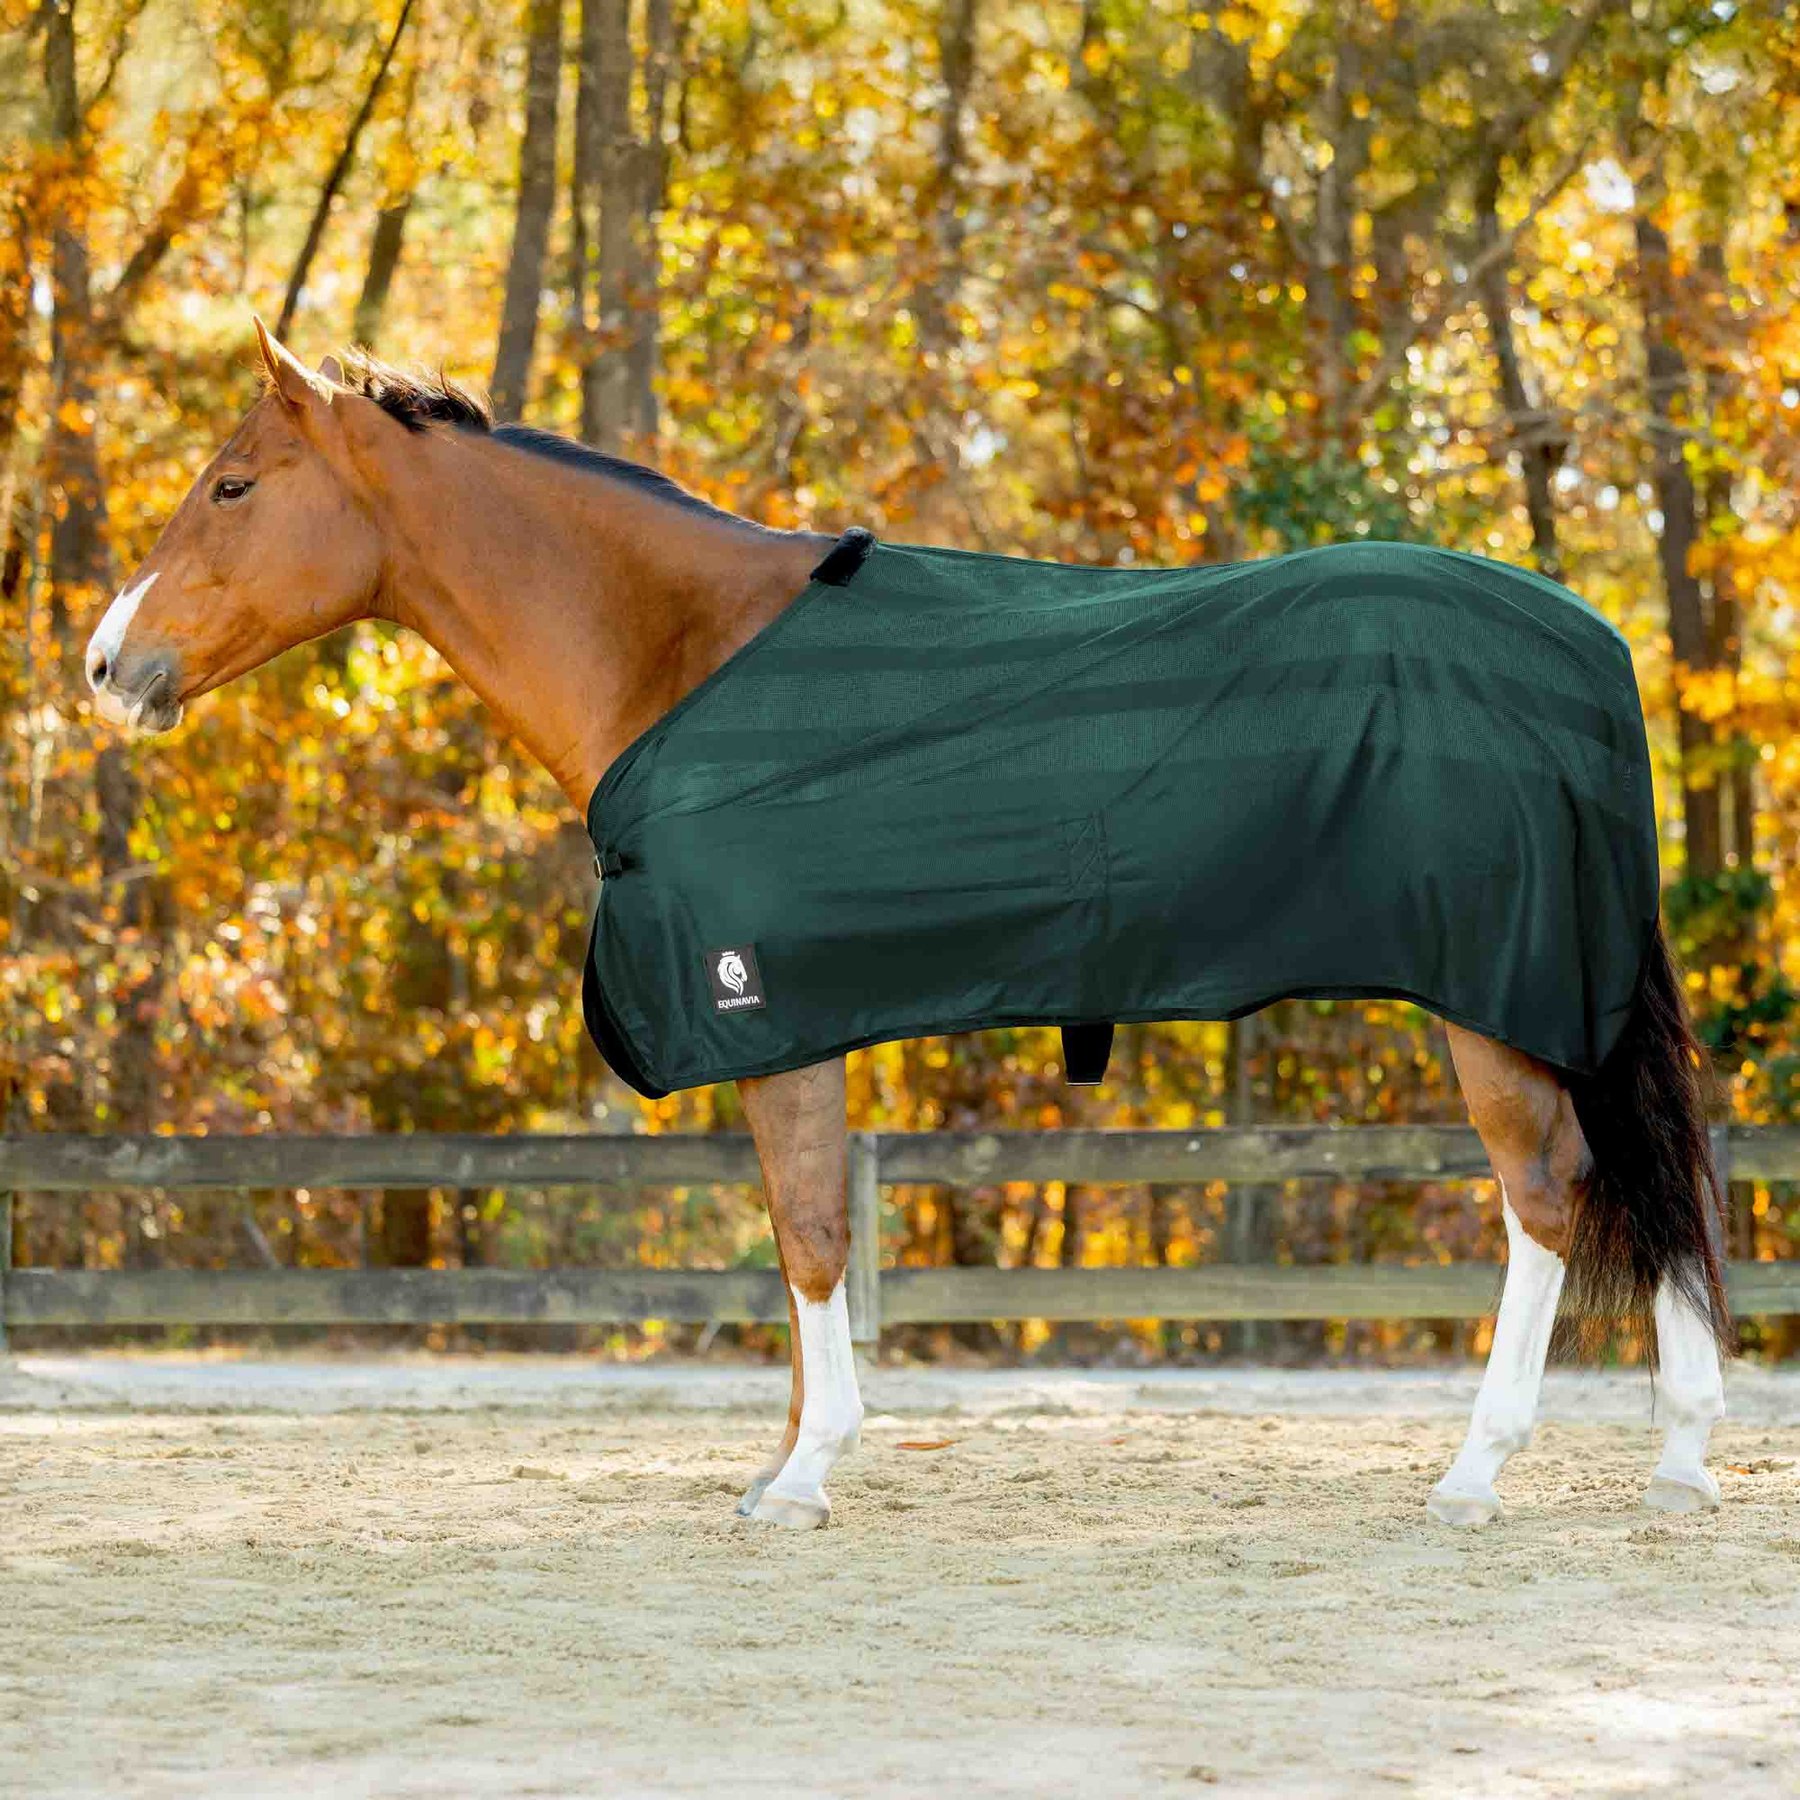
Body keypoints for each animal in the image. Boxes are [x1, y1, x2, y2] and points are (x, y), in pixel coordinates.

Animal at [84, 319, 1731, 1530]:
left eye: (231, 486)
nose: (106, 662)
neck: (684, 657)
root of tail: (1592, 646)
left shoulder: (767, 1013)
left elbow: (812, 1235)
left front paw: (805, 1476)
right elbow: (793, 1241)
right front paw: (789, 1458)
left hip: (1495, 992)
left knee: (1550, 1191)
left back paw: (1477, 1472)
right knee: (1647, 1176)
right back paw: (1681, 1456)